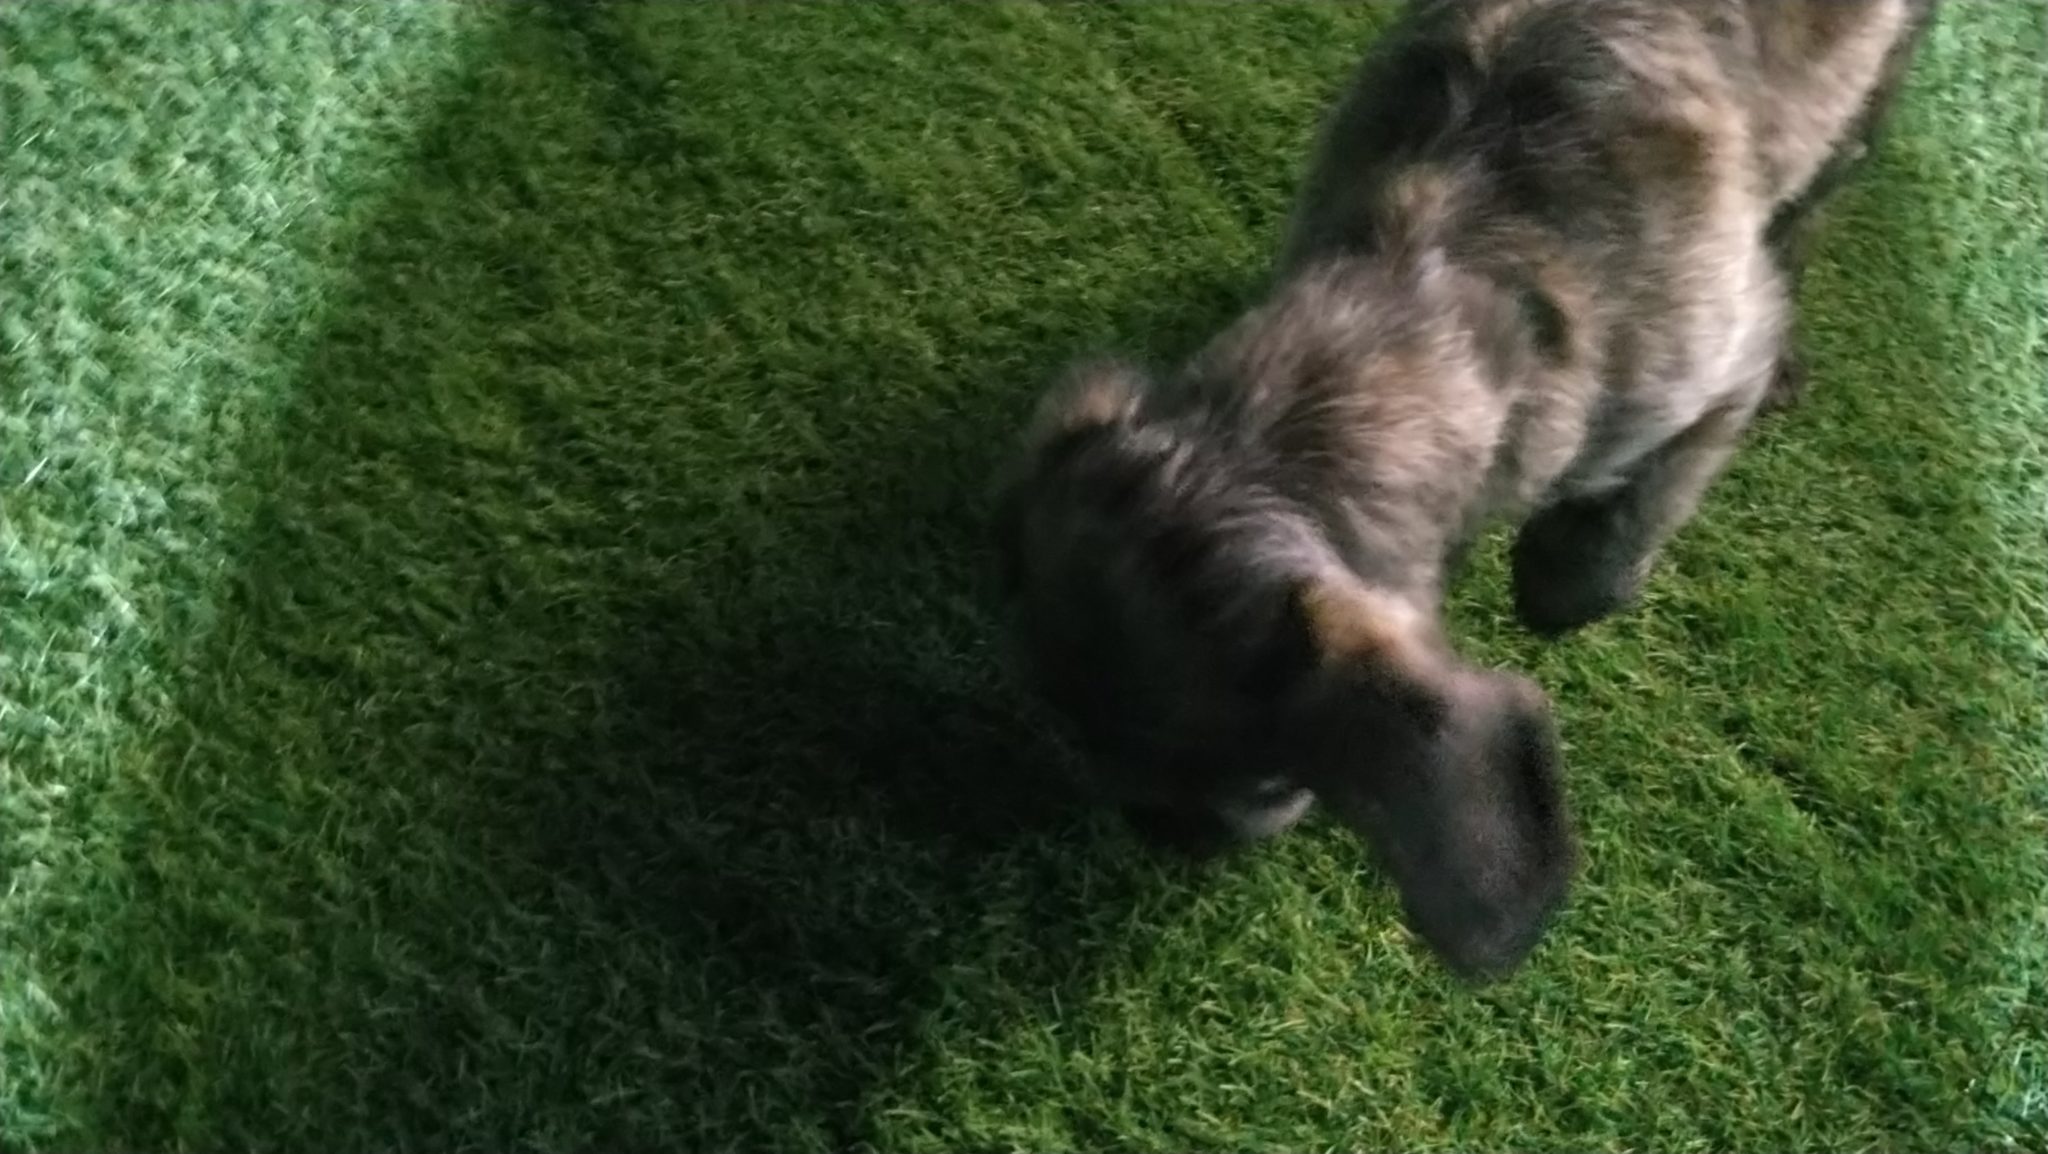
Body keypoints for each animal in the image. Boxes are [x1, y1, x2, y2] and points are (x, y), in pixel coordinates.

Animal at [993, 0, 1937, 981]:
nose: (1164, 840)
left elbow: (1586, 566)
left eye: (1248, 781)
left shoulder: (1719, 370)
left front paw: (1578, 567)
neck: (1451, 262)